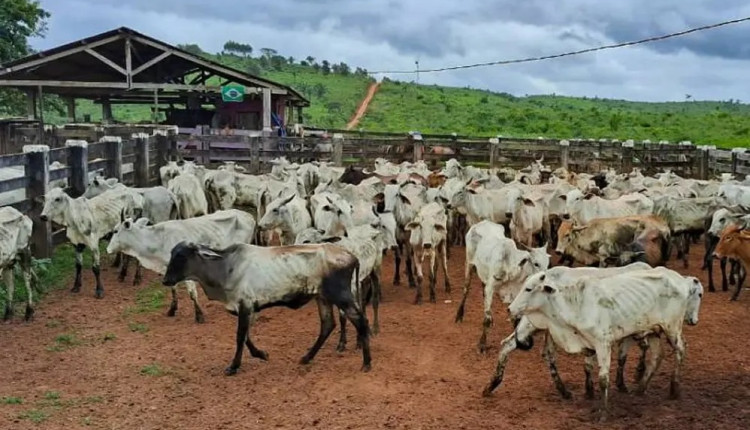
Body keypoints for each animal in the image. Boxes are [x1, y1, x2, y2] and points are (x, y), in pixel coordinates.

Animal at [162, 244, 374, 374]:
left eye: (181, 256)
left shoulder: (245, 305)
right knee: (328, 324)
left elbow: (240, 336)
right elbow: (246, 336)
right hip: (322, 297)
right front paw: (261, 354)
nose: (165, 280)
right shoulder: (249, 308)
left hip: (341, 296)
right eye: (171, 254)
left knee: (361, 321)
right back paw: (307, 357)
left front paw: (233, 366)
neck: (225, 268)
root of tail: (351, 256)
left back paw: (366, 362)